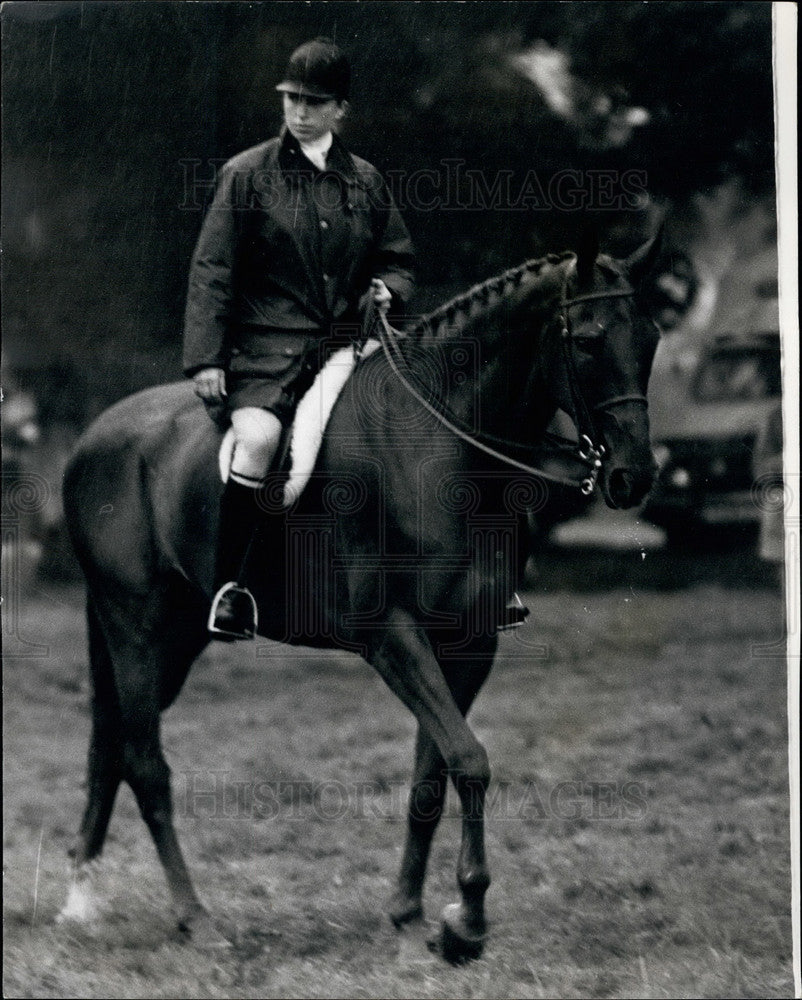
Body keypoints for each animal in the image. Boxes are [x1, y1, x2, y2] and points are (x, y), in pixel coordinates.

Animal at [57, 234, 656, 960]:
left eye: (652, 337)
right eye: (590, 341)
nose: (634, 477)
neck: (440, 444)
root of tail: (94, 437)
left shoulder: (469, 641)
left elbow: (435, 771)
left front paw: (412, 913)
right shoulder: (391, 635)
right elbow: (469, 759)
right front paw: (467, 922)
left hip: (176, 636)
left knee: (114, 745)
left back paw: (81, 899)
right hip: (136, 629)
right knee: (146, 763)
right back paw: (194, 917)